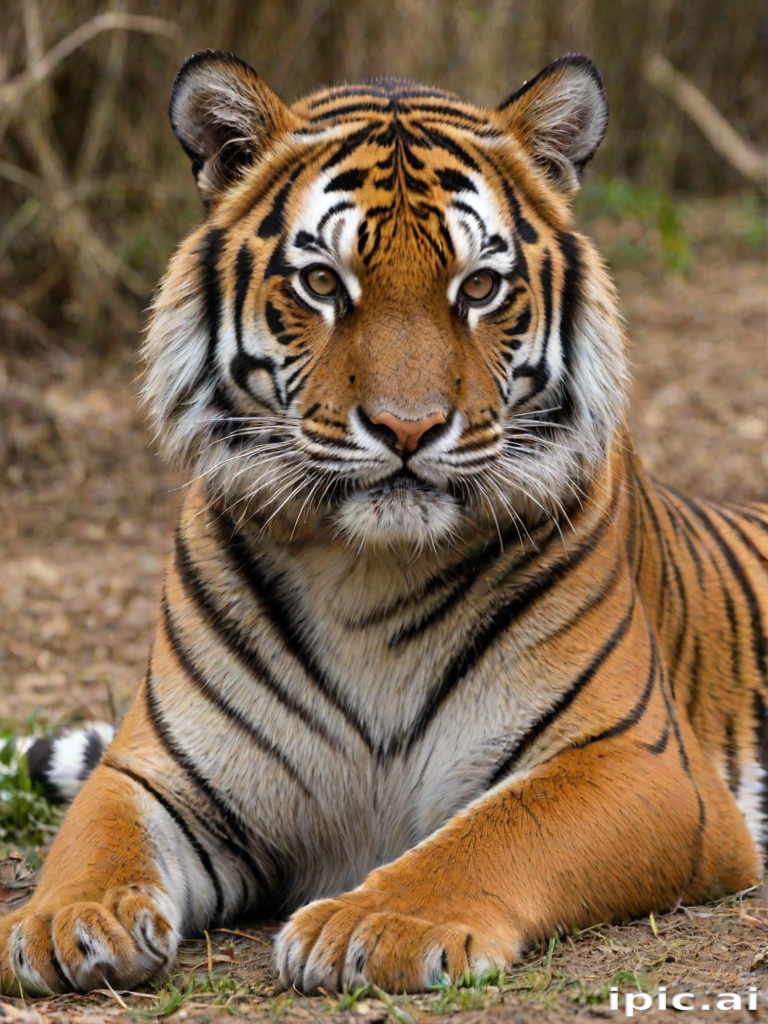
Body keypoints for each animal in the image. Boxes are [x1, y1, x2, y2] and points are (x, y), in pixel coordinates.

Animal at [2, 47, 767, 998]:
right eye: (322, 282)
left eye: (480, 286)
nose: (408, 429)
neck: (366, 569)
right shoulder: (161, 771)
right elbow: (95, 836)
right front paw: (60, 920)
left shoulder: (639, 763)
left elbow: (491, 834)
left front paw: (375, 923)